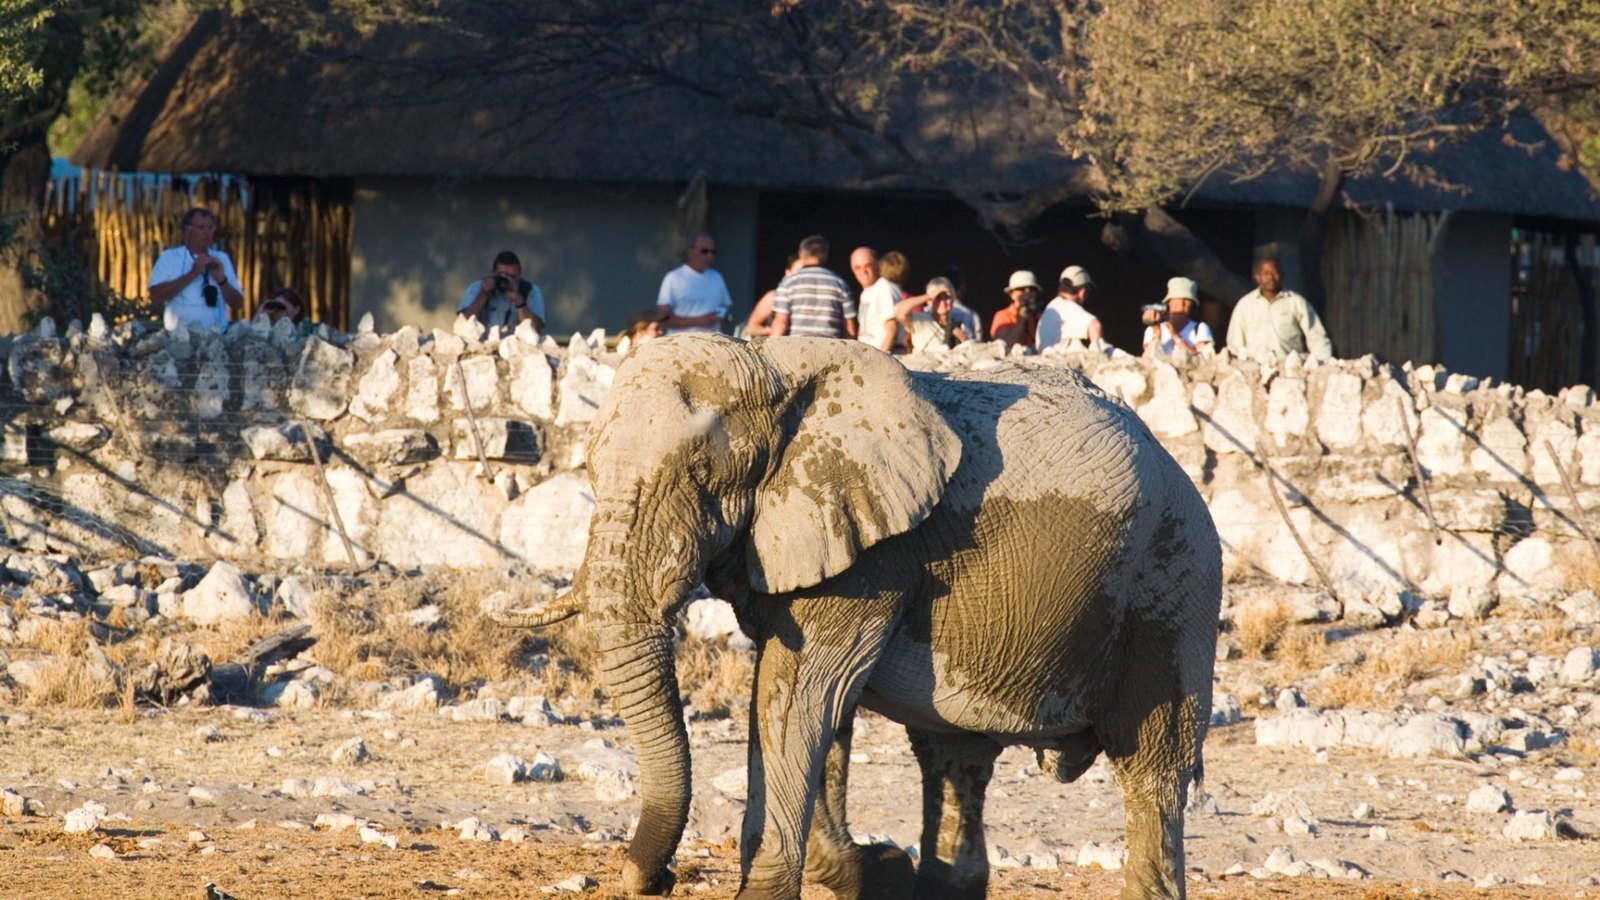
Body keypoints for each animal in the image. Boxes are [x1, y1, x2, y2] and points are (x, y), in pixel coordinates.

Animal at [496, 334, 1222, 900]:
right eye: (590, 469)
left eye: (703, 470)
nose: (658, 879)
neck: (774, 368)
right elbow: (809, 705)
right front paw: (869, 869)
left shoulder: (876, 551)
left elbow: (798, 693)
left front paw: (854, 870)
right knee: (954, 760)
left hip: (1174, 587)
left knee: (1153, 767)